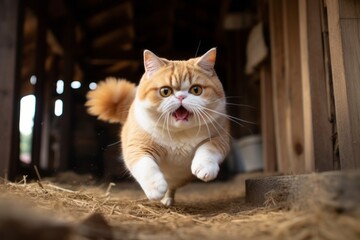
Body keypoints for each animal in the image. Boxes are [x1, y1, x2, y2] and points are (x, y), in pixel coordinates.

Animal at [86, 48, 229, 206]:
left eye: (196, 90)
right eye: (165, 91)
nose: (181, 97)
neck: (180, 133)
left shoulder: (220, 138)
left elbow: (208, 148)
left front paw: (205, 167)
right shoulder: (138, 147)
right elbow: (146, 167)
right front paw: (155, 187)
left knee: (172, 186)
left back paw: (167, 200)